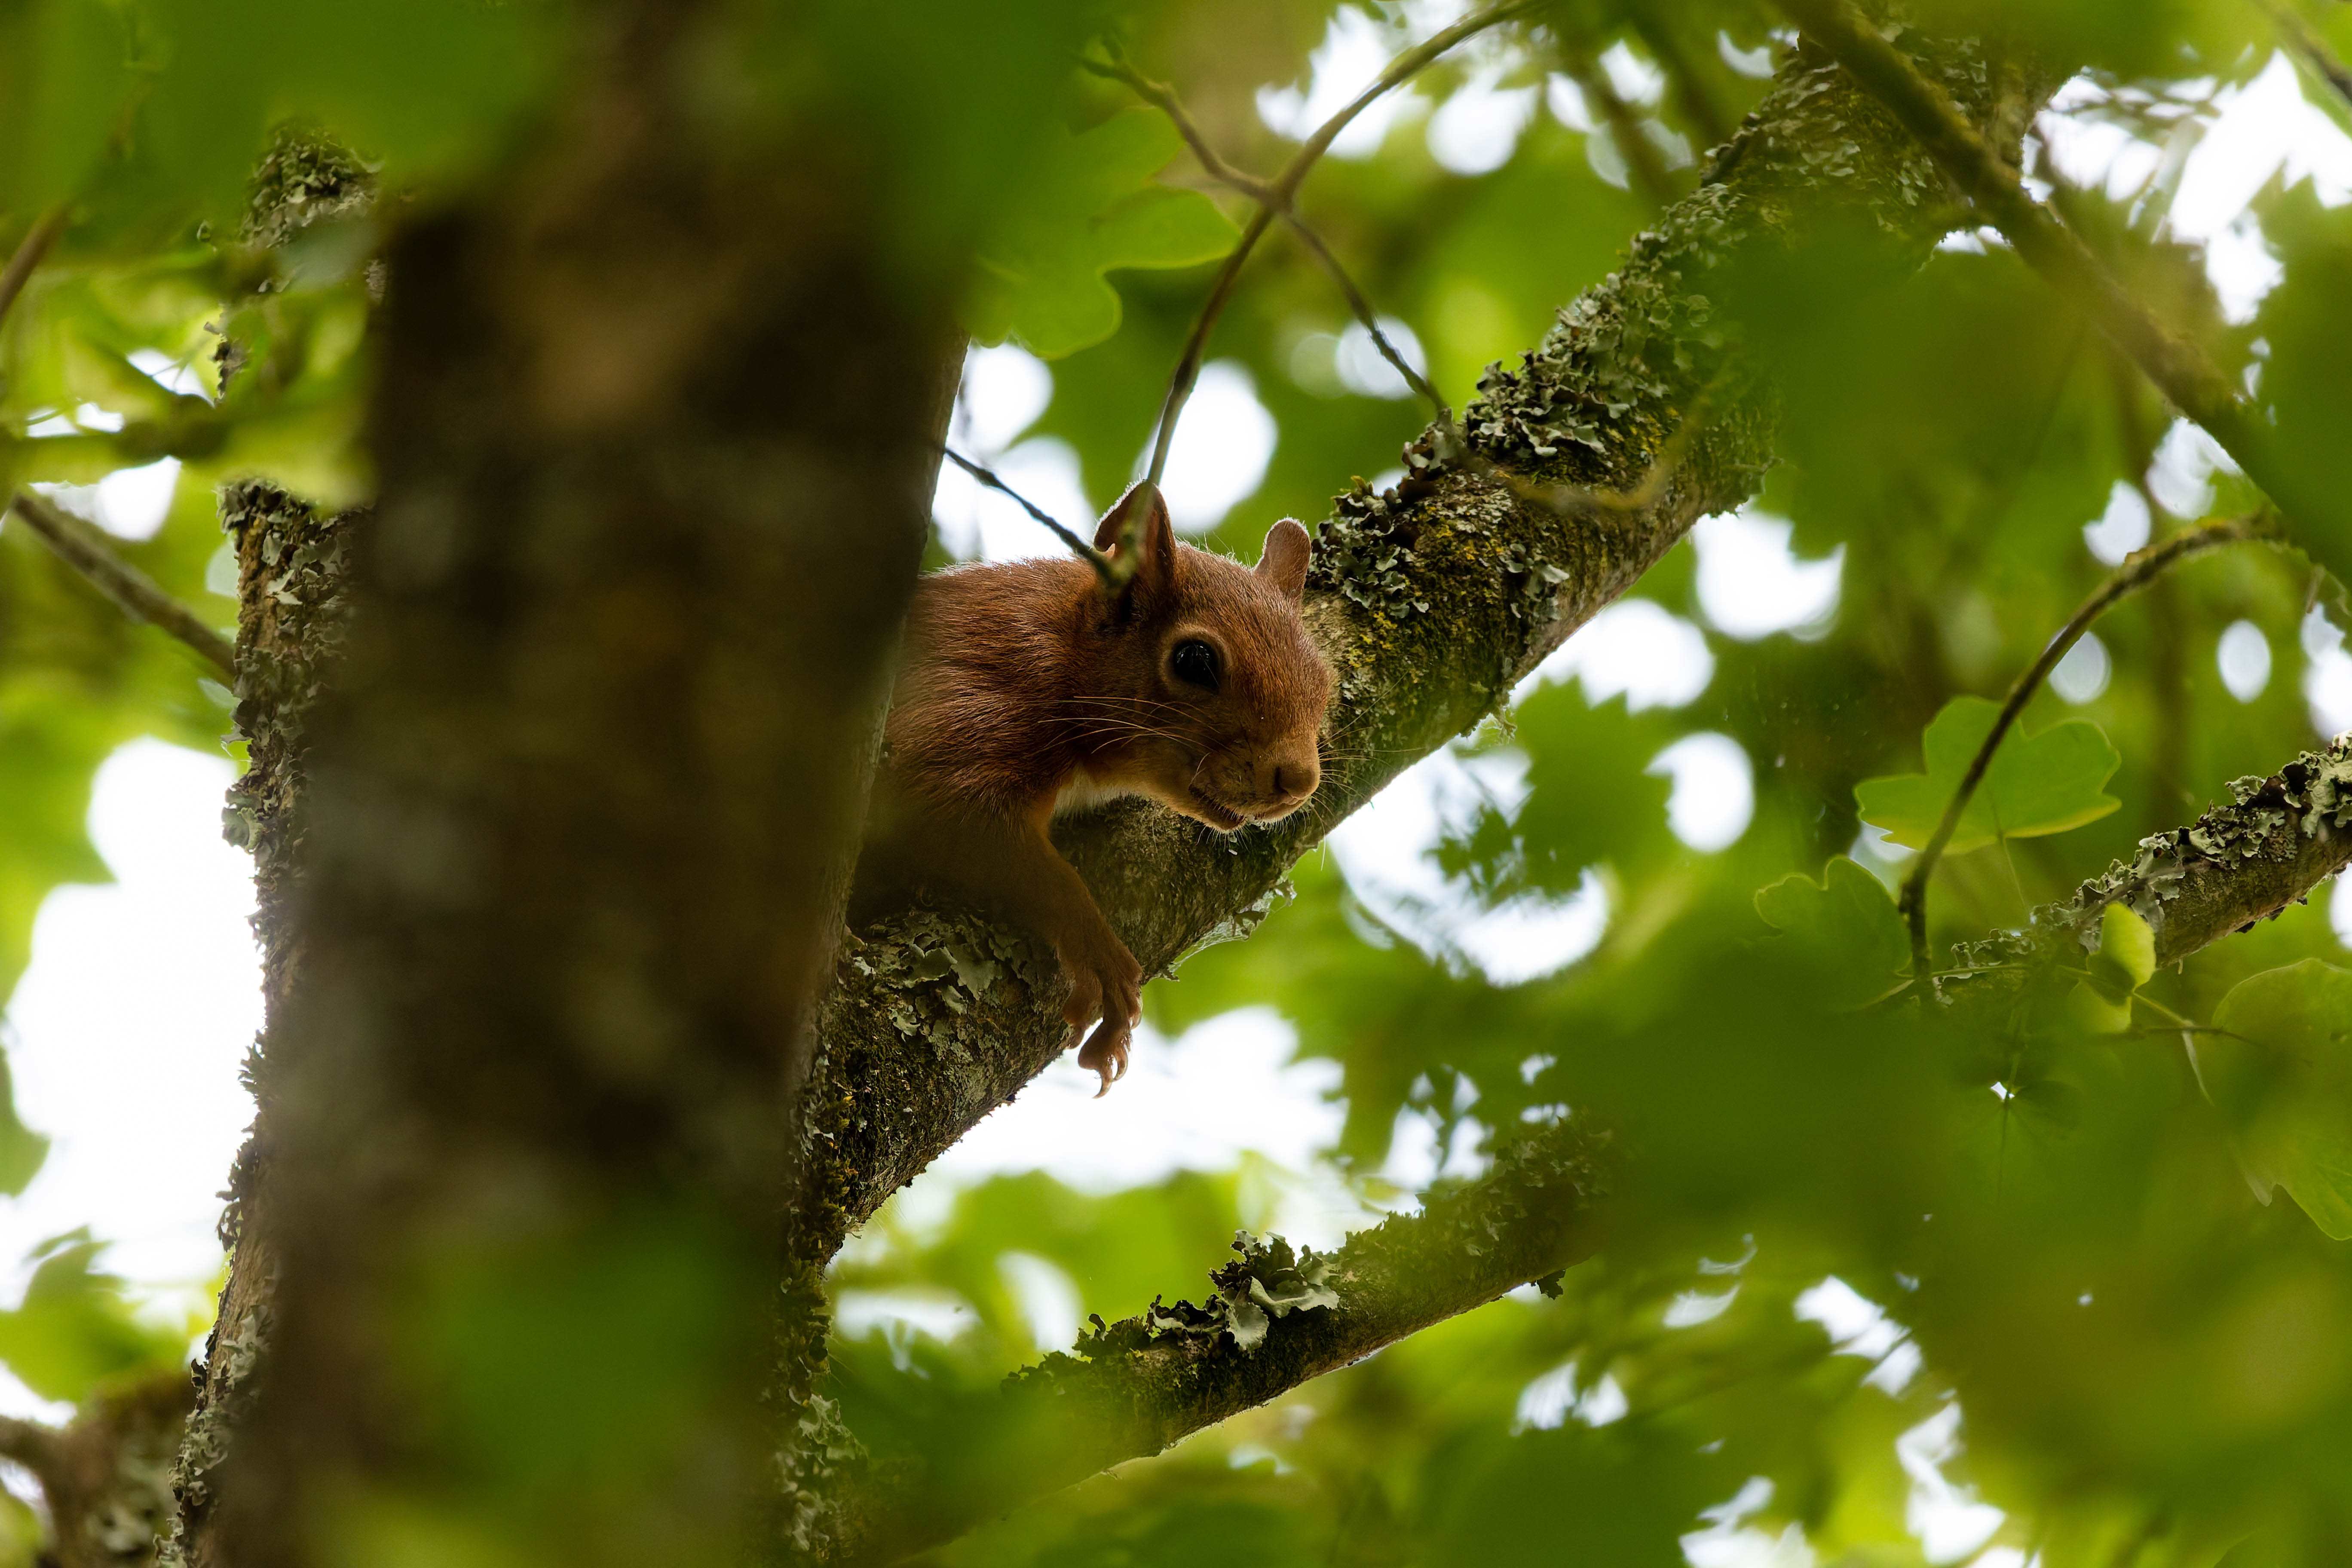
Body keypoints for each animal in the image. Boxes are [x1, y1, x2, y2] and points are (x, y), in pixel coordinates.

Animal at [855, 481, 1332, 1095]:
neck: (1067, 646)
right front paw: (1097, 948)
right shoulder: (962, 699)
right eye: (1195, 660)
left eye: (1323, 678)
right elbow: (973, 823)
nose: (1298, 782)